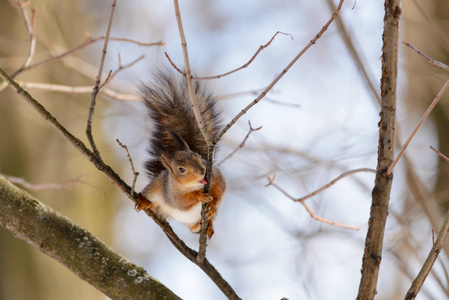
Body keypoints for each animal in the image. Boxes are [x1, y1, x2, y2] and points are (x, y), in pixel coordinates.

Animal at [132, 71, 224, 238]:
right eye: (181, 170)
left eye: (198, 156)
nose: (202, 171)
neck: (194, 185)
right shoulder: (173, 193)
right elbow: (182, 202)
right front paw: (198, 196)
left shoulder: (216, 175)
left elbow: (221, 188)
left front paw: (213, 204)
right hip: (155, 189)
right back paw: (144, 201)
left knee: (196, 226)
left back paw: (207, 226)